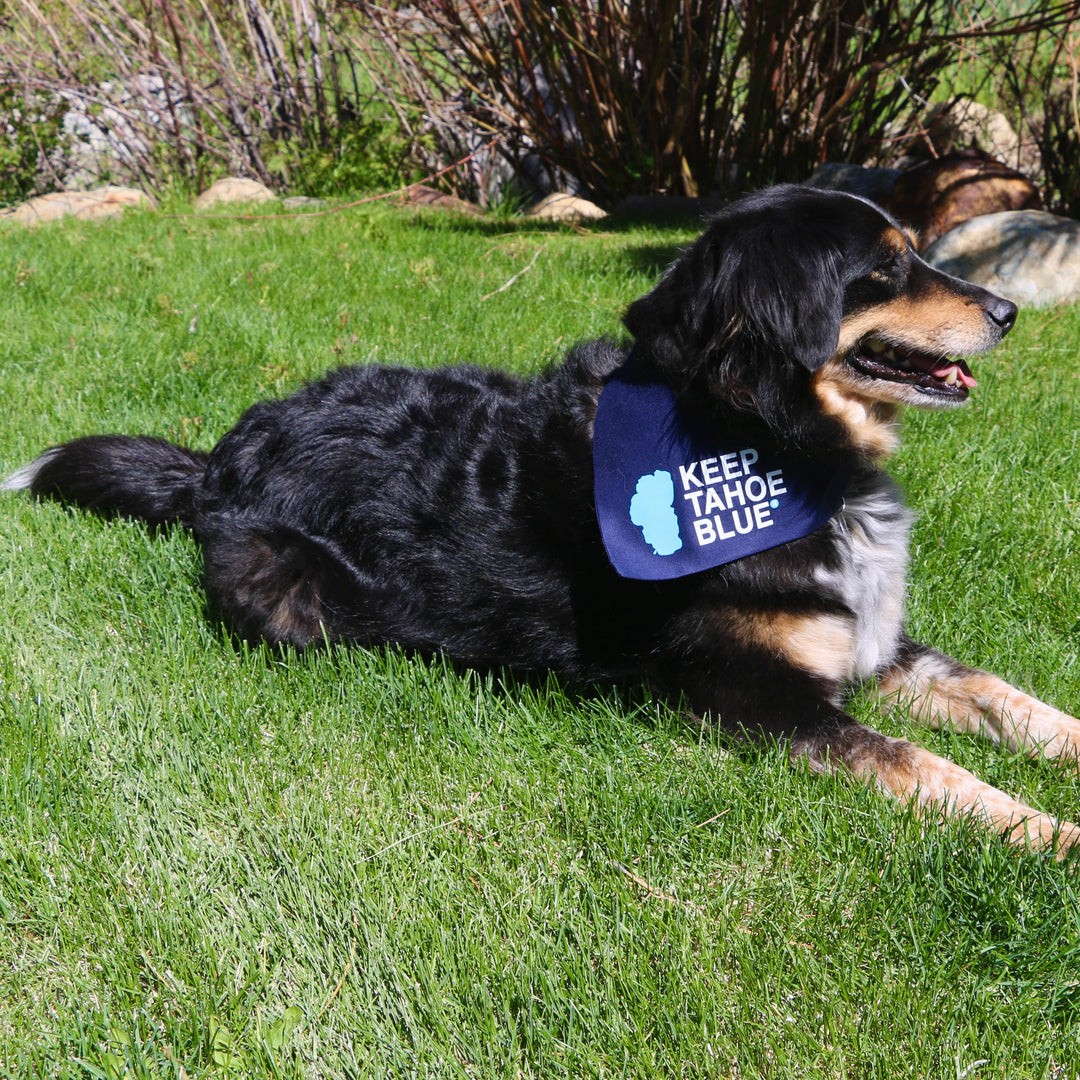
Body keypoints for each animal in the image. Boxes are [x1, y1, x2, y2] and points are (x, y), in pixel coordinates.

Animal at [8, 190, 1080, 855]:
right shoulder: (756, 695)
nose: (1007, 310)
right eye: (886, 268)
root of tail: (221, 460)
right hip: (277, 583)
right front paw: (1054, 836)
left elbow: (1009, 700)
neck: (764, 440)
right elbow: (933, 769)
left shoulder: (869, 641)